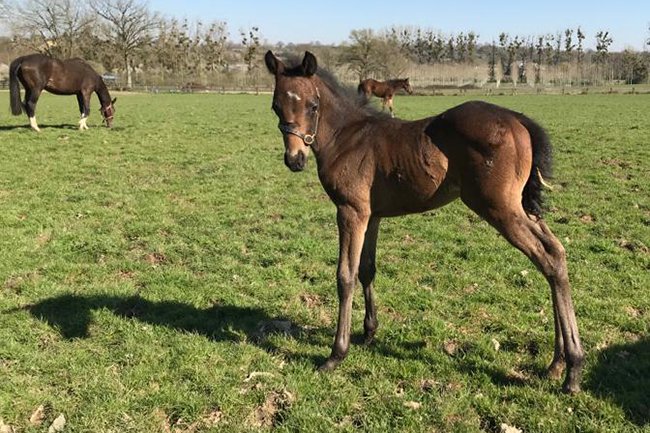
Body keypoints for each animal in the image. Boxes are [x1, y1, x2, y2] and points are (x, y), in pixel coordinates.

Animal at [265, 51, 584, 394]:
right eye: (276, 106)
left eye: (313, 105)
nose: (295, 160)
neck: (346, 137)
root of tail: (518, 119)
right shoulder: (372, 216)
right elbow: (367, 269)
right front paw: (369, 332)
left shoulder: (350, 212)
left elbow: (345, 276)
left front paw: (337, 354)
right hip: (520, 208)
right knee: (556, 253)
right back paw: (557, 363)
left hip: (500, 208)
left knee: (548, 258)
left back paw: (573, 369)